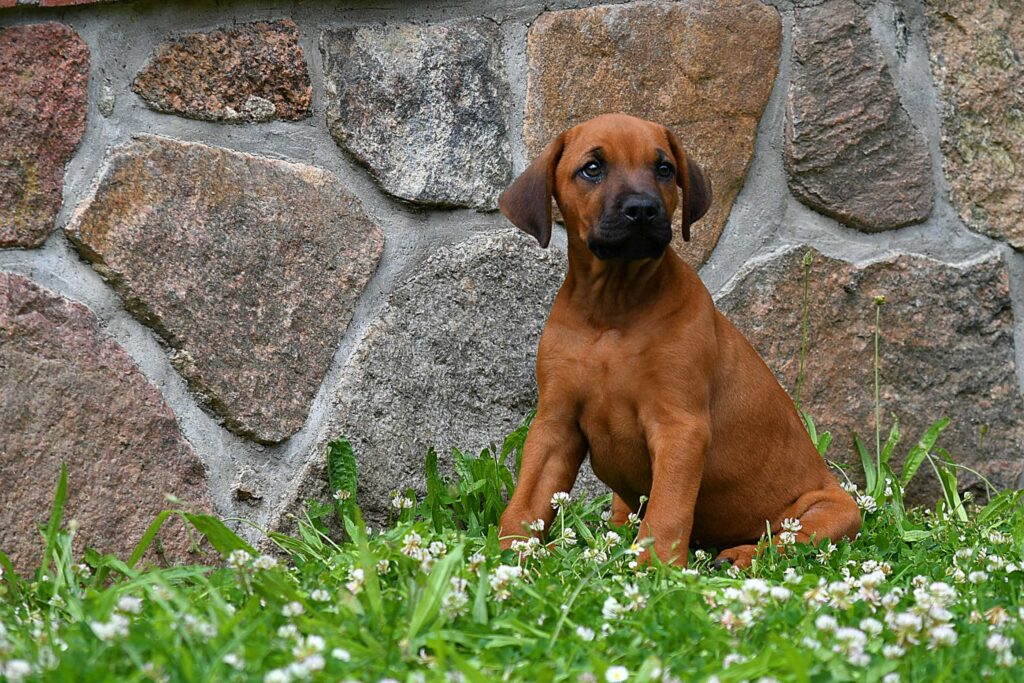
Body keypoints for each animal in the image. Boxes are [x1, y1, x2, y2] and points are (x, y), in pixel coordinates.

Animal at [496, 113, 861, 568]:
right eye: (592, 168)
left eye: (664, 169)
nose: (642, 209)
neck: (613, 308)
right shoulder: (555, 423)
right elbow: (528, 498)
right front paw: (508, 555)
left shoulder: (680, 427)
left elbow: (668, 509)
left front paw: (655, 568)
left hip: (833, 510)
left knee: (782, 540)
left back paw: (738, 555)